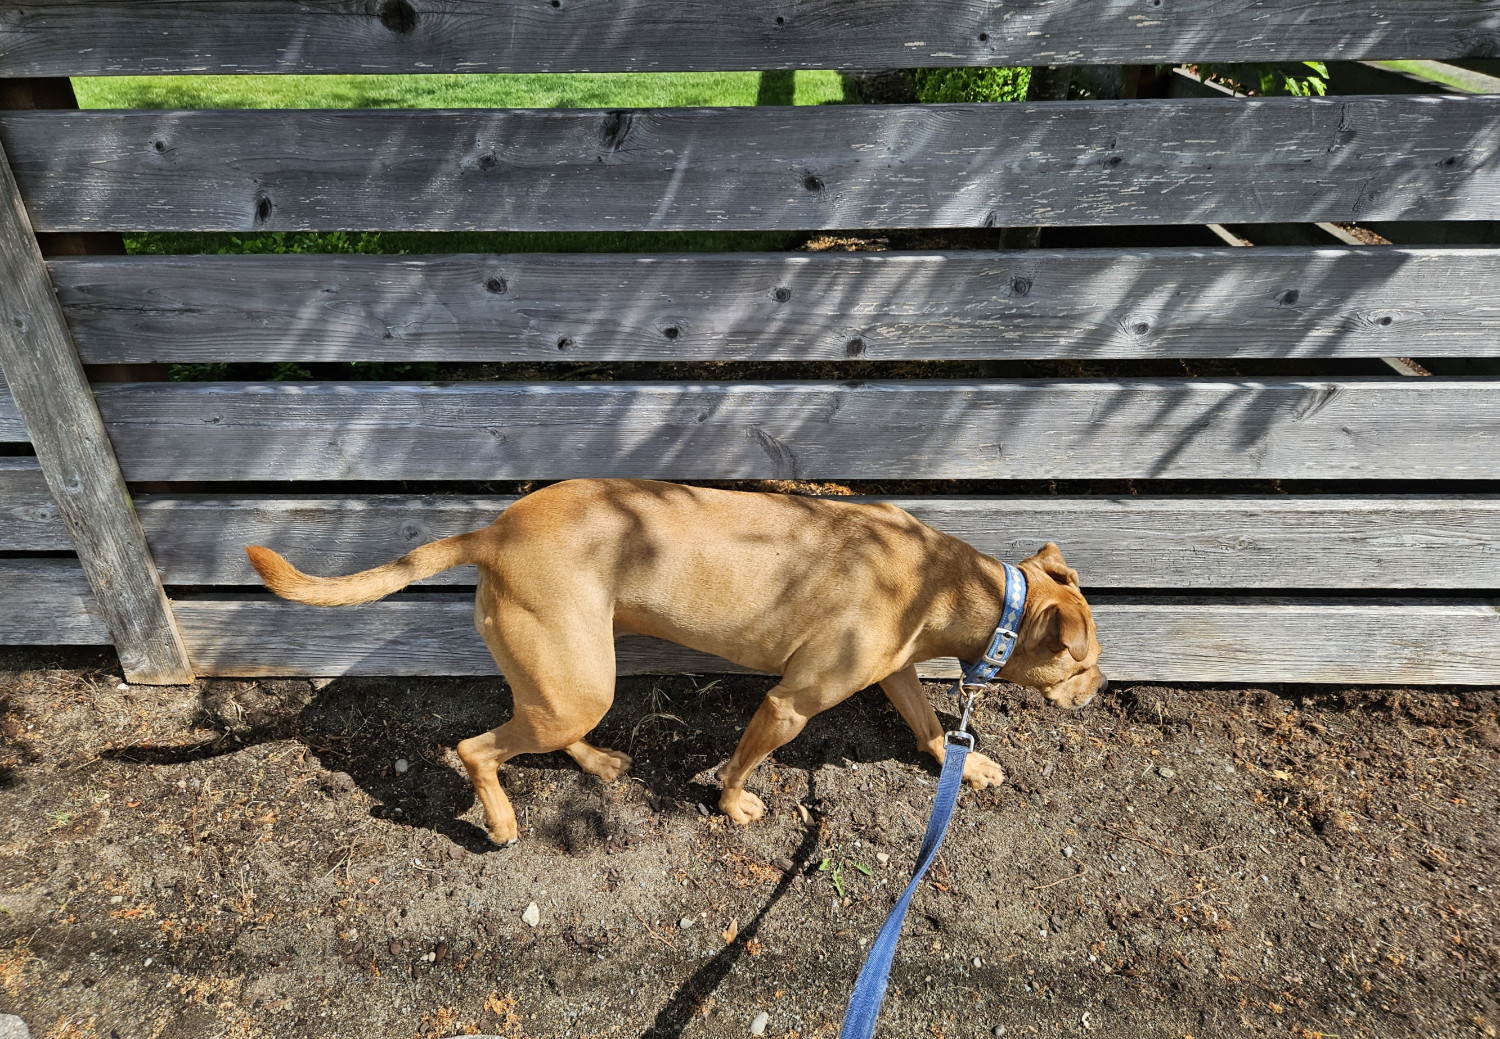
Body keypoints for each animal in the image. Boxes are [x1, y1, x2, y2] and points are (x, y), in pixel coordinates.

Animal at [240, 476, 1098, 845]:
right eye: (1083, 661)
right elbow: (745, 760)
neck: (948, 581)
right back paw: (503, 820)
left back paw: (596, 763)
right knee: (476, 747)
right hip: (575, 679)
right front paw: (733, 804)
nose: (1099, 687)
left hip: (568, 674)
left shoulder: (895, 671)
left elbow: (925, 723)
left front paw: (966, 763)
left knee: (543, 730)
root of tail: (495, 529)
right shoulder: (788, 702)